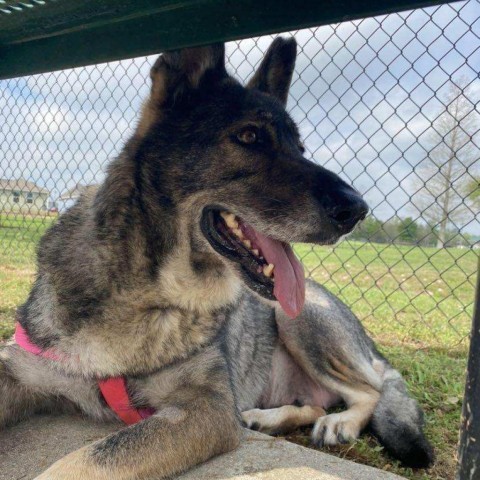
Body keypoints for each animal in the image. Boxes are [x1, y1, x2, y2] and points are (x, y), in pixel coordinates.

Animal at [0, 35, 436, 478]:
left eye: (299, 148)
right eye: (248, 136)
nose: (357, 210)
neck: (146, 294)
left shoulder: (205, 409)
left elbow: (90, 459)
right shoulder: (19, 371)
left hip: (299, 318)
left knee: (371, 391)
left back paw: (339, 422)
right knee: (316, 403)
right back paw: (267, 418)